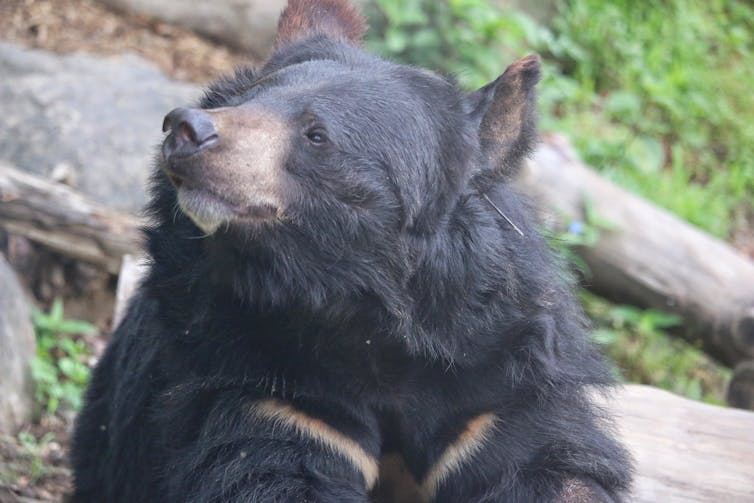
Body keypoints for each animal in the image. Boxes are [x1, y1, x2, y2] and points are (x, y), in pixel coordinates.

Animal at [73, 1, 632, 502]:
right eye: (246, 99)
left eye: (317, 135)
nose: (187, 129)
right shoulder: (268, 386)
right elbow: (262, 468)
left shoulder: (496, 383)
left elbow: (547, 467)